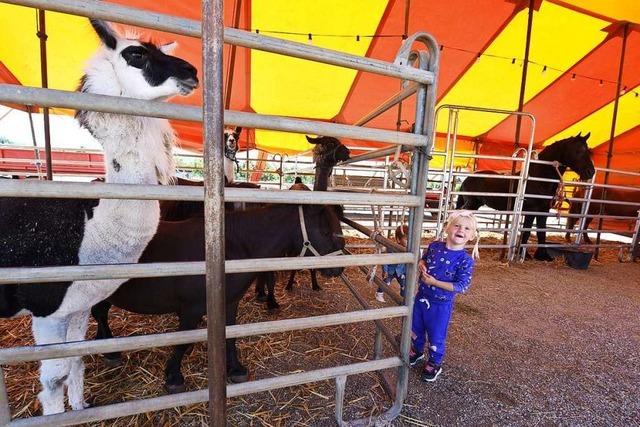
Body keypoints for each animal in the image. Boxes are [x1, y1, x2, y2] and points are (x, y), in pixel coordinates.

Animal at [0, 19, 196, 414]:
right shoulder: (47, 308)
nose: (192, 71)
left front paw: (81, 408)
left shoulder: (77, 304)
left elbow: (77, 359)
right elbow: (52, 380)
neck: (90, 234)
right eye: (136, 54)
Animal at [90, 204, 344, 394]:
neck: (229, 247)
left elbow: (230, 336)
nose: (339, 268)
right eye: (326, 232)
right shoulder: (191, 308)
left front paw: (236, 369)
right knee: (99, 313)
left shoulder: (230, 302)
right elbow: (183, 341)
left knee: (99, 313)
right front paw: (174, 376)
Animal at [456, 134, 596, 260]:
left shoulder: (543, 210)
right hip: (471, 203)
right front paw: (525, 255)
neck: (538, 179)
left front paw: (543, 256)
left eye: (588, 151)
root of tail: (467, 179)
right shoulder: (531, 210)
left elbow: (541, 231)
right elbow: (527, 231)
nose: (591, 172)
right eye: (578, 150)